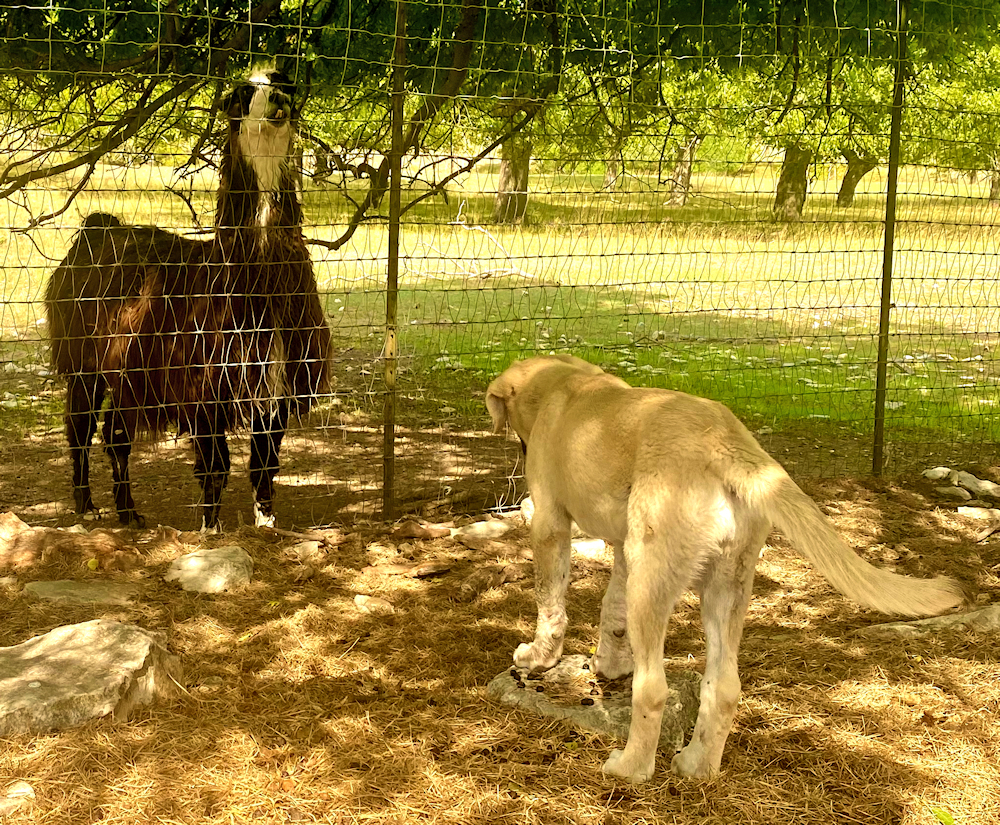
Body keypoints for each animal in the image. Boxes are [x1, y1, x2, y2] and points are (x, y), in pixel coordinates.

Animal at [486, 352, 968, 780]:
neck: (563, 384)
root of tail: (725, 440)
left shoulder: (550, 523)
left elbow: (550, 600)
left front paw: (539, 657)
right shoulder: (624, 546)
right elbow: (611, 611)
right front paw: (609, 665)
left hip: (654, 580)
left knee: (654, 689)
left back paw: (630, 768)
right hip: (723, 586)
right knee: (725, 687)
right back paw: (697, 766)